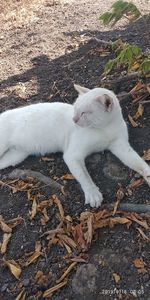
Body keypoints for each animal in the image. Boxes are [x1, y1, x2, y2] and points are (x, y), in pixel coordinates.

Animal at [0, 84, 149, 206]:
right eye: (75, 109)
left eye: (84, 113)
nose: (74, 119)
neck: (104, 128)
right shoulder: (72, 155)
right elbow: (84, 176)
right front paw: (93, 193)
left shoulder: (121, 146)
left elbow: (139, 163)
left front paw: (148, 176)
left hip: (16, 156)